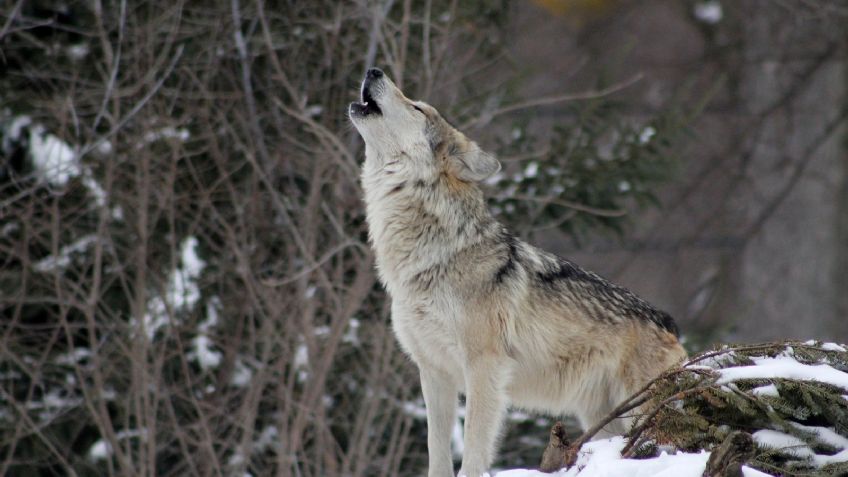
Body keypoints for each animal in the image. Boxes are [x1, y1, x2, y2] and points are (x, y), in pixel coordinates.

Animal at [348, 68, 684, 476]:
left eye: (417, 107)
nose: (374, 70)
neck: (431, 256)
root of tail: (668, 322)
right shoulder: (434, 372)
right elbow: (437, 452)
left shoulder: (484, 368)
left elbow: (473, 448)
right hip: (602, 419)